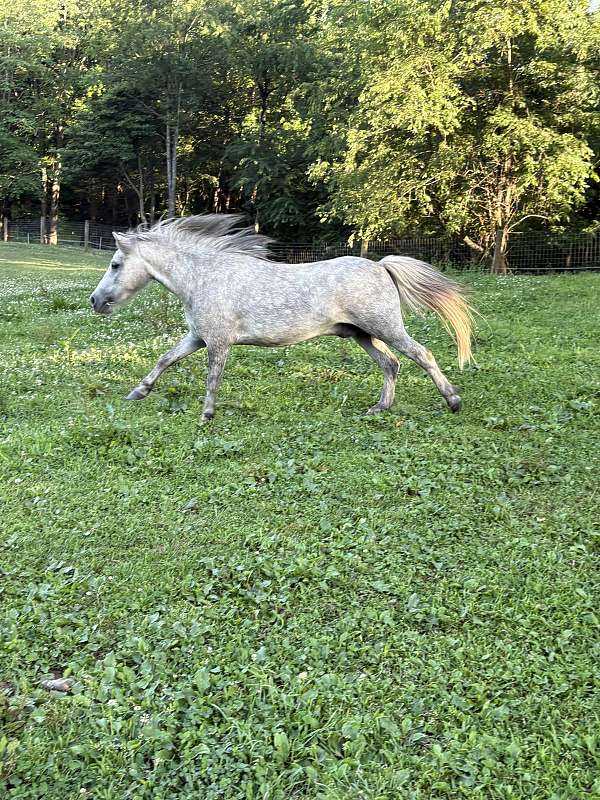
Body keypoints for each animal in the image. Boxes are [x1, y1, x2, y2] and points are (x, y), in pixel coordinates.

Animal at [89, 215, 474, 422]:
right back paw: (379, 408)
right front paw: (138, 392)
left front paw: (206, 415)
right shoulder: (197, 337)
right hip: (361, 333)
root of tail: (381, 266)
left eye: (116, 264)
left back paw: (453, 401)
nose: (95, 301)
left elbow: (212, 378)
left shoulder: (218, 343)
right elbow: (165, 359)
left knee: (422, 355)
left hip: (386, 327)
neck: (203, 277)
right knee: (391, 364)